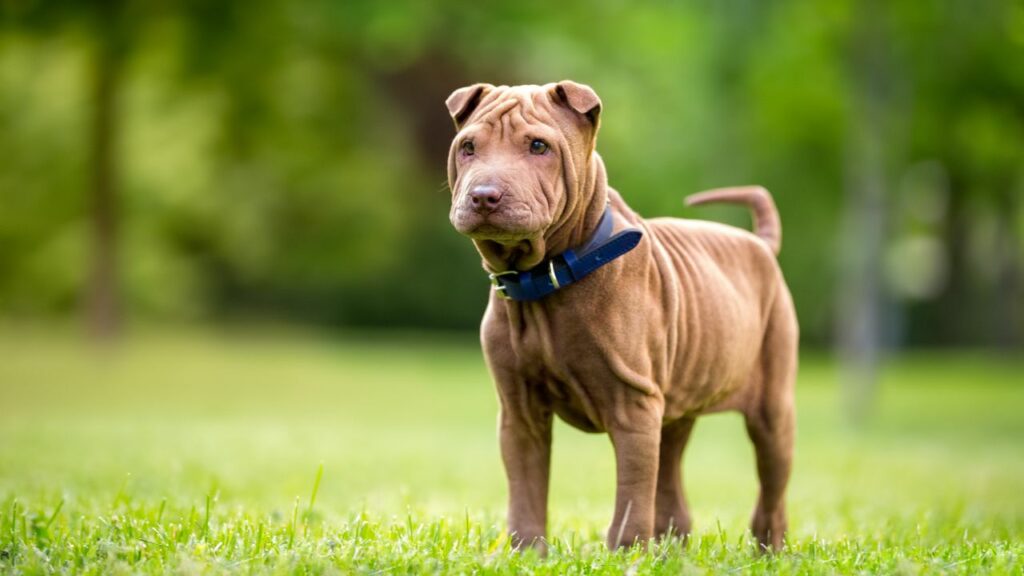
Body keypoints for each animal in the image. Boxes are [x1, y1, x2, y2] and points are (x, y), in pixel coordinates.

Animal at [444, 81, 794, 553]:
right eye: (468, 147)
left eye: (538, 146)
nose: (484, 195)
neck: (545, 279)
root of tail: (760, 245)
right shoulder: (519, 412)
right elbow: (526, 489)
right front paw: (525, 553)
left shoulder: (633, 406)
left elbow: (631, 493)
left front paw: (626, 554)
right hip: (676, 407)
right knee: (672, 481)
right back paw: (671, 550)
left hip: (773, 408)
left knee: (770, 490)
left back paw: (769, 552)